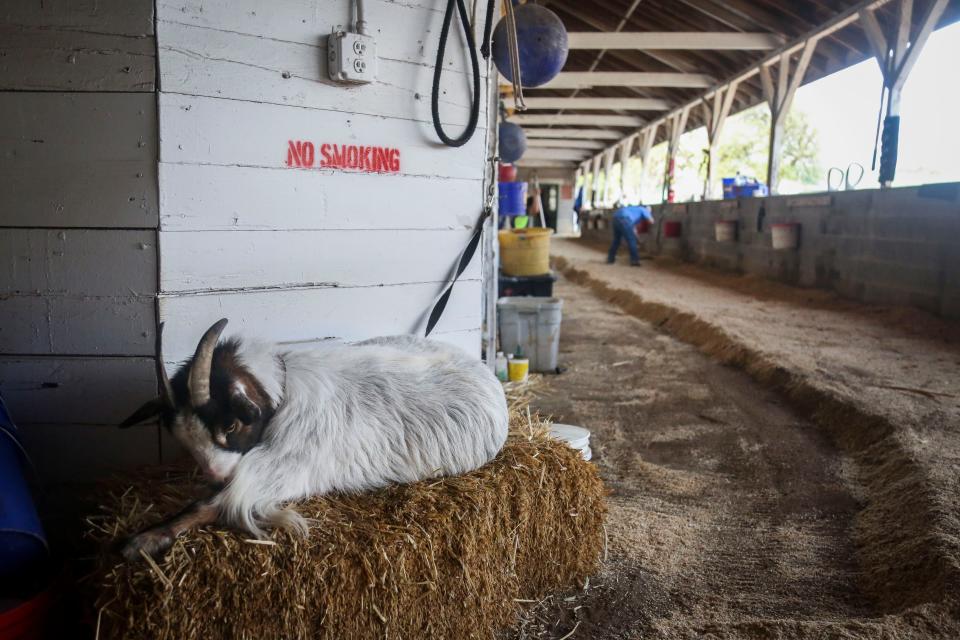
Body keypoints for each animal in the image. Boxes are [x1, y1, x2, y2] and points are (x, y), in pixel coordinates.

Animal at [118, 320, 510, 560]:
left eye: (230, 425)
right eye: (182, 437)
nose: (217, 476)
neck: (284, 385)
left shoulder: (287, 467)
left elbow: (215, 503)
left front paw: (142, 540)